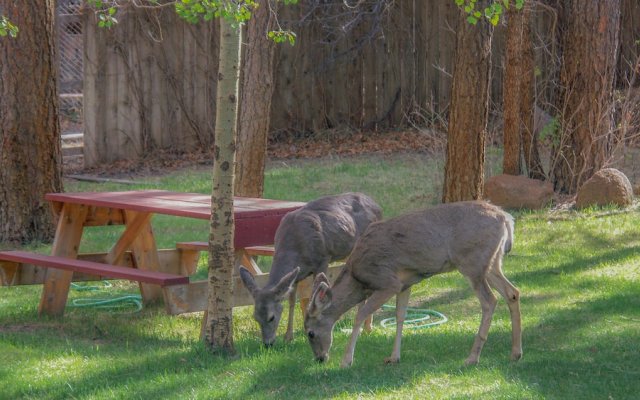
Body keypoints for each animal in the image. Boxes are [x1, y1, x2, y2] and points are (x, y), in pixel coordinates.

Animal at [238, 192, 382, 346]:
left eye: (271, 317)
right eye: (255, 317)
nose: (267, 344)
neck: (295, 247)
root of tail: (376, 205)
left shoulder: (323, 258)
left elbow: (315, 293)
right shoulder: (297, 273)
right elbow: (292, 300)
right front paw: (288, 337)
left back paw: (366, 328)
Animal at [304, 202, 520, 368]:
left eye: (310, 333)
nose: (320, 358)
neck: (357, 278)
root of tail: (506, 218)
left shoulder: (387, 281)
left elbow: (361, 314)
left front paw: (346, 360)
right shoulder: (405, 283)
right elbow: (400, 315)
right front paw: (394, 357)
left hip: (472, 261)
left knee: (490, 301)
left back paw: (473, 357)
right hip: (492, 262)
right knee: (512, 292)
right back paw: (515, 353)